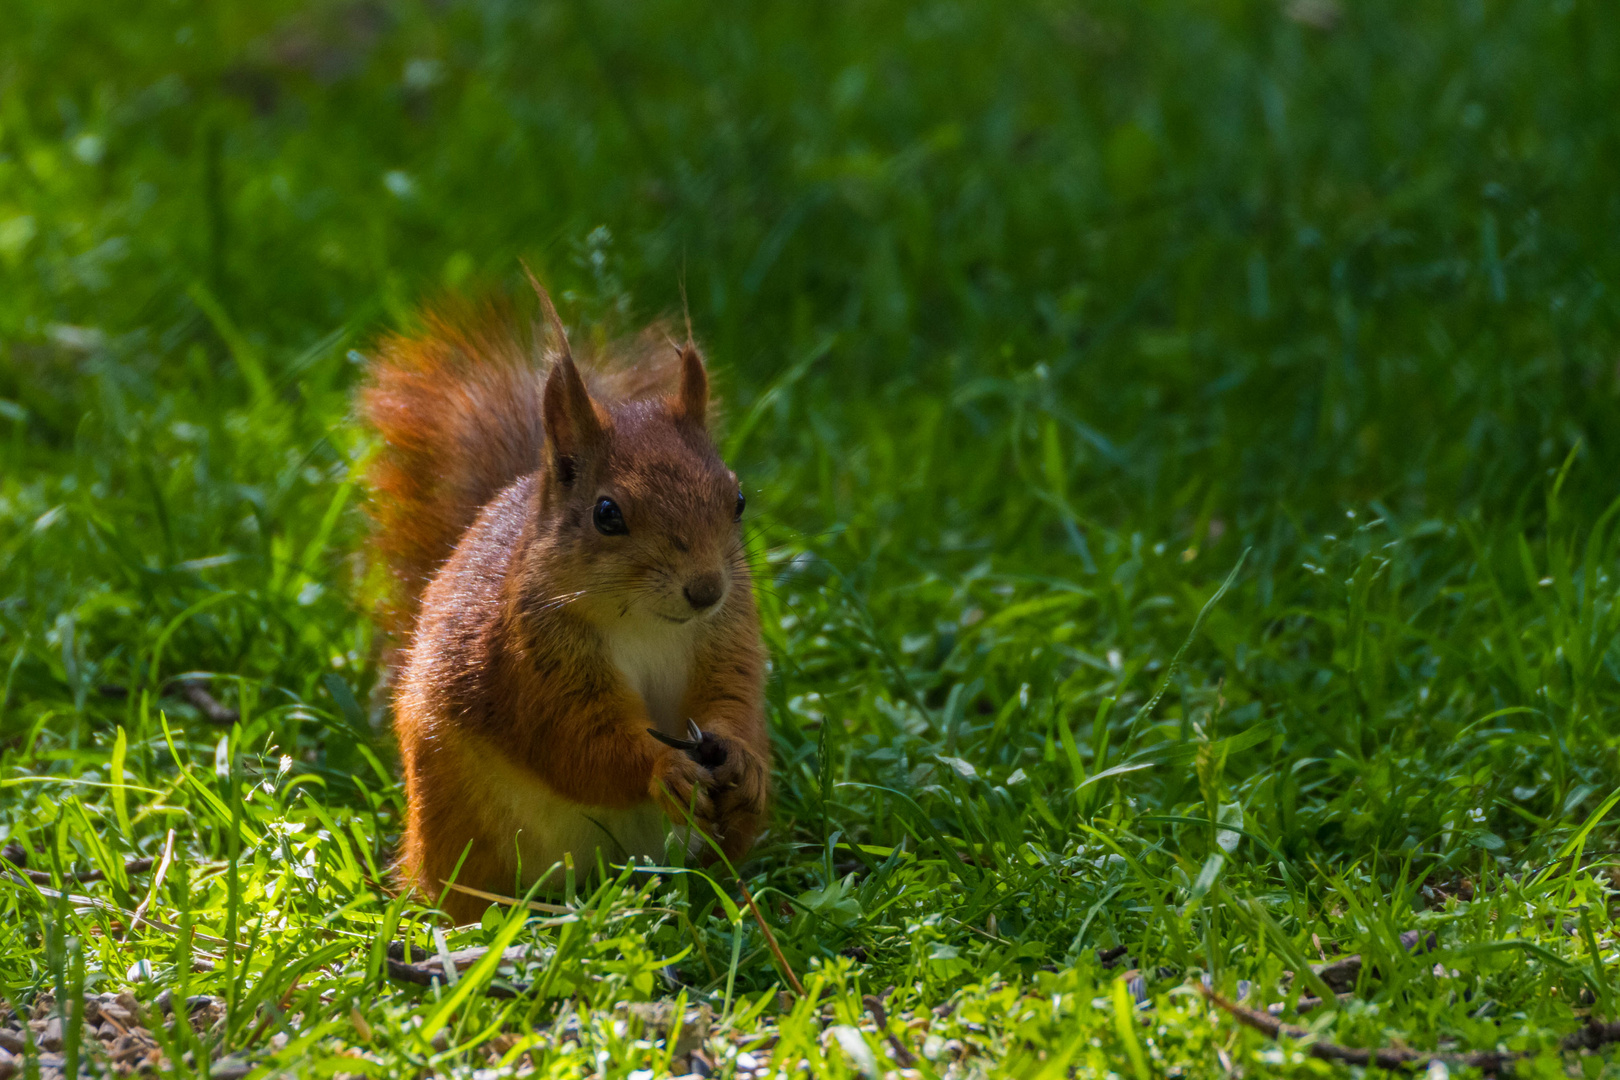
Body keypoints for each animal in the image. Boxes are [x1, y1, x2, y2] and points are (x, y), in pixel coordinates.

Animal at [361, 286, 771, 919]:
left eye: (739, 499)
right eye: (607, 514)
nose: (706, 590)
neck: (648, 627)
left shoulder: (728, 636)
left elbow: (733, 696)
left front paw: (742, 760)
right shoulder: (533, 666)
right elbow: (578, 744)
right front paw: (663, 768)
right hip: (456, 822)